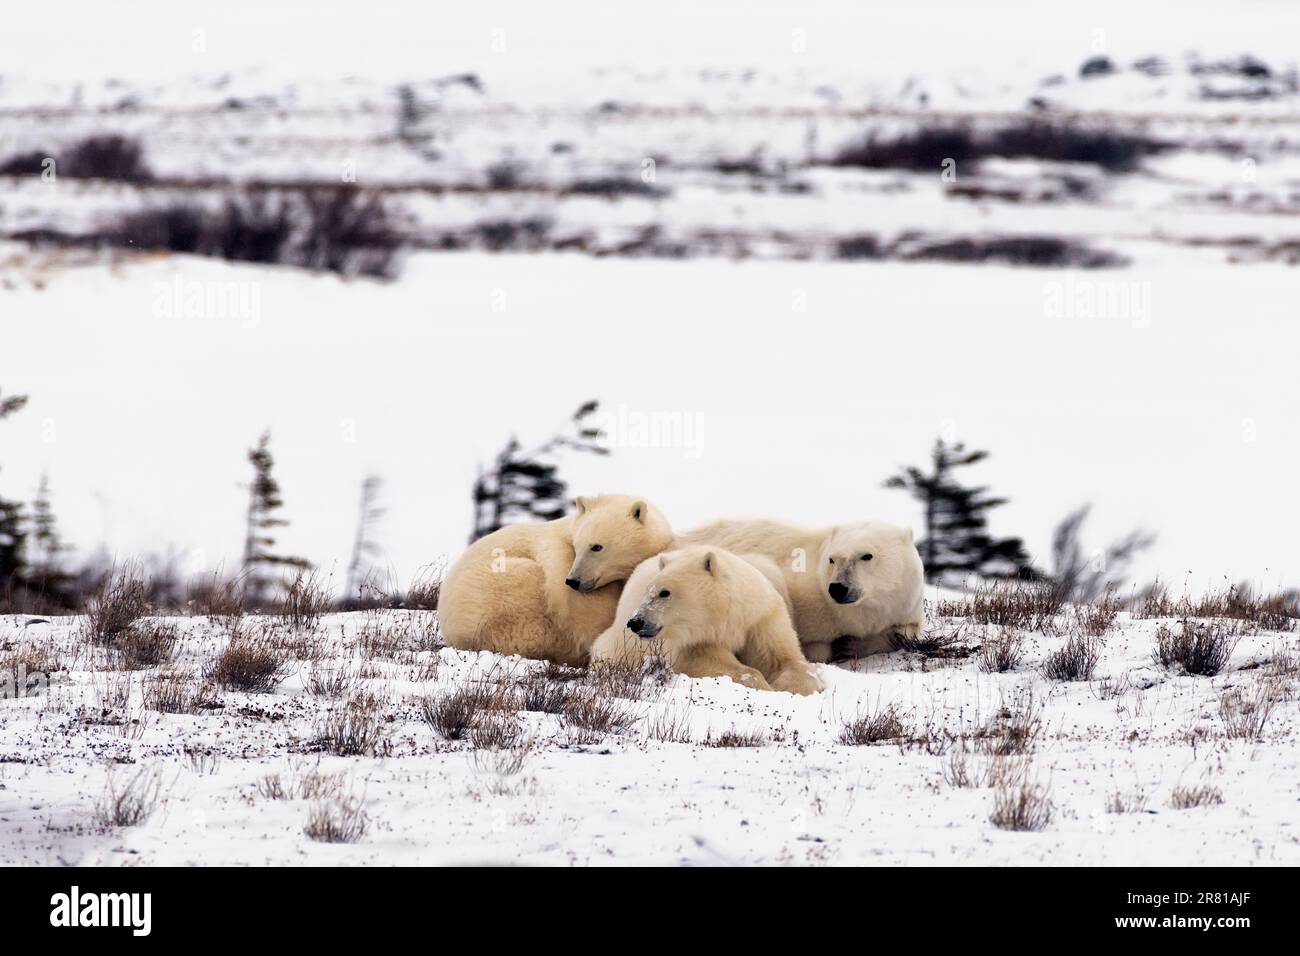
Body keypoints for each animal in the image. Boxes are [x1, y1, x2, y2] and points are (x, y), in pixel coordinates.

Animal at [441, 496, 676, 671]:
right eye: (577, 545)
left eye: (596, 546)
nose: (574, 581)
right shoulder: (558, 556)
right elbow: (583, 612)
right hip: (500, 592)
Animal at [592, 546, 821, 697]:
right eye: (648, 591)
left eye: (664, 592)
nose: (636, 622)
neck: (726, 618)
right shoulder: (694, 639)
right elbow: (707, 662)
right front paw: (763, 686)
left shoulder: (760, 618)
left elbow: (784, 658)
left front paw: (795, 688)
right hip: (621, 645)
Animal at [676, 515, 920, 665]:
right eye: (832, 559)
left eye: (866, 555)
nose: (837, 588)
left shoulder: (904, 601)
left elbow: (907, 630)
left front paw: (851, 644)